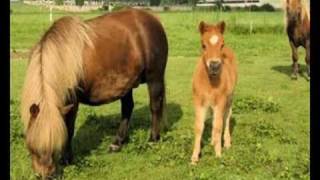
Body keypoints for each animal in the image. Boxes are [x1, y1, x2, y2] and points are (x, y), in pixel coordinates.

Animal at [21, 8, 169, 177]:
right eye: (32, 147)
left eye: (54, 145)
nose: (47, 175)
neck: (62, 58)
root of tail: (153, 18)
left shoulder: (72, 100)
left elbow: (69, 127)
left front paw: (67, 159)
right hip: (127, 83)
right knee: (127, 108)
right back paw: (117, 143)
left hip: (155, 78)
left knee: (155, 107)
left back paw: (152, 139)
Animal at [190, 21, 238, 165]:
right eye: (203, 45)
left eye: (222, 44)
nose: (215, 66)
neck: (210, 82)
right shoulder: (199, 102)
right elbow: (199, 127)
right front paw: (194, 158)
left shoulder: (221, 101)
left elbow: (218, 125)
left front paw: (218, 154)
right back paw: (212, 140)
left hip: (229, 98)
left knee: (226, 117)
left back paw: (226, 142)